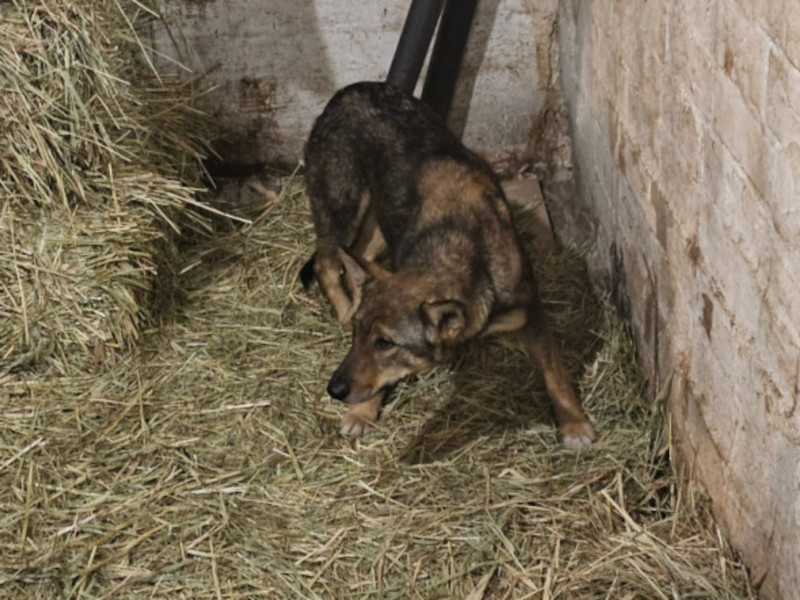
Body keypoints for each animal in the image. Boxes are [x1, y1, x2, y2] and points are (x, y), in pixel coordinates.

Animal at [304, 82, 592, 448]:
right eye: (358, 334)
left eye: (385, 343)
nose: (334, 389)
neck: (460, 248)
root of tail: (348, 92)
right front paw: (362, 412)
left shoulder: (531, 313)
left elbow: (556, 374)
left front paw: (574, 422)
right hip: (343, 209)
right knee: (326, 263)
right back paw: (343, 308)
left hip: (375, 219)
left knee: (356, 255)